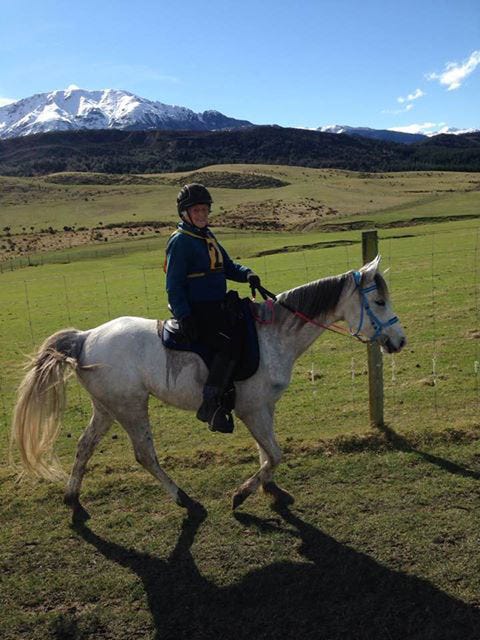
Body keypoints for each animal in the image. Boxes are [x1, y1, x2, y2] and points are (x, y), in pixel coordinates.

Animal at [11, 256, 404, 520]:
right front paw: (241, 495)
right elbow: (275, 454)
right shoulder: (252, 409)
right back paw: (184, 499)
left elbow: (267, 452)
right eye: (379, 301)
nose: (399, 341)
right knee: (144, 454)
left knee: (84, 446)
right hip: (131, 407)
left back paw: (72, 497)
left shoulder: (263, 406)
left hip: (107, 408)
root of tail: (85, 337)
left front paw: (269, 487)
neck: (273, 335)